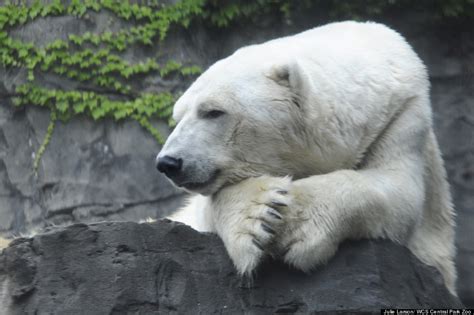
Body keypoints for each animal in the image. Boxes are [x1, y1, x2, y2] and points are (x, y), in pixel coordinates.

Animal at [157, 21, 458, 296]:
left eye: (213, 111)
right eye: (178, 116)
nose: (168, 163)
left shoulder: (401, 117)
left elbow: (398, 192)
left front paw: (297, 222)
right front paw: (261, 215)